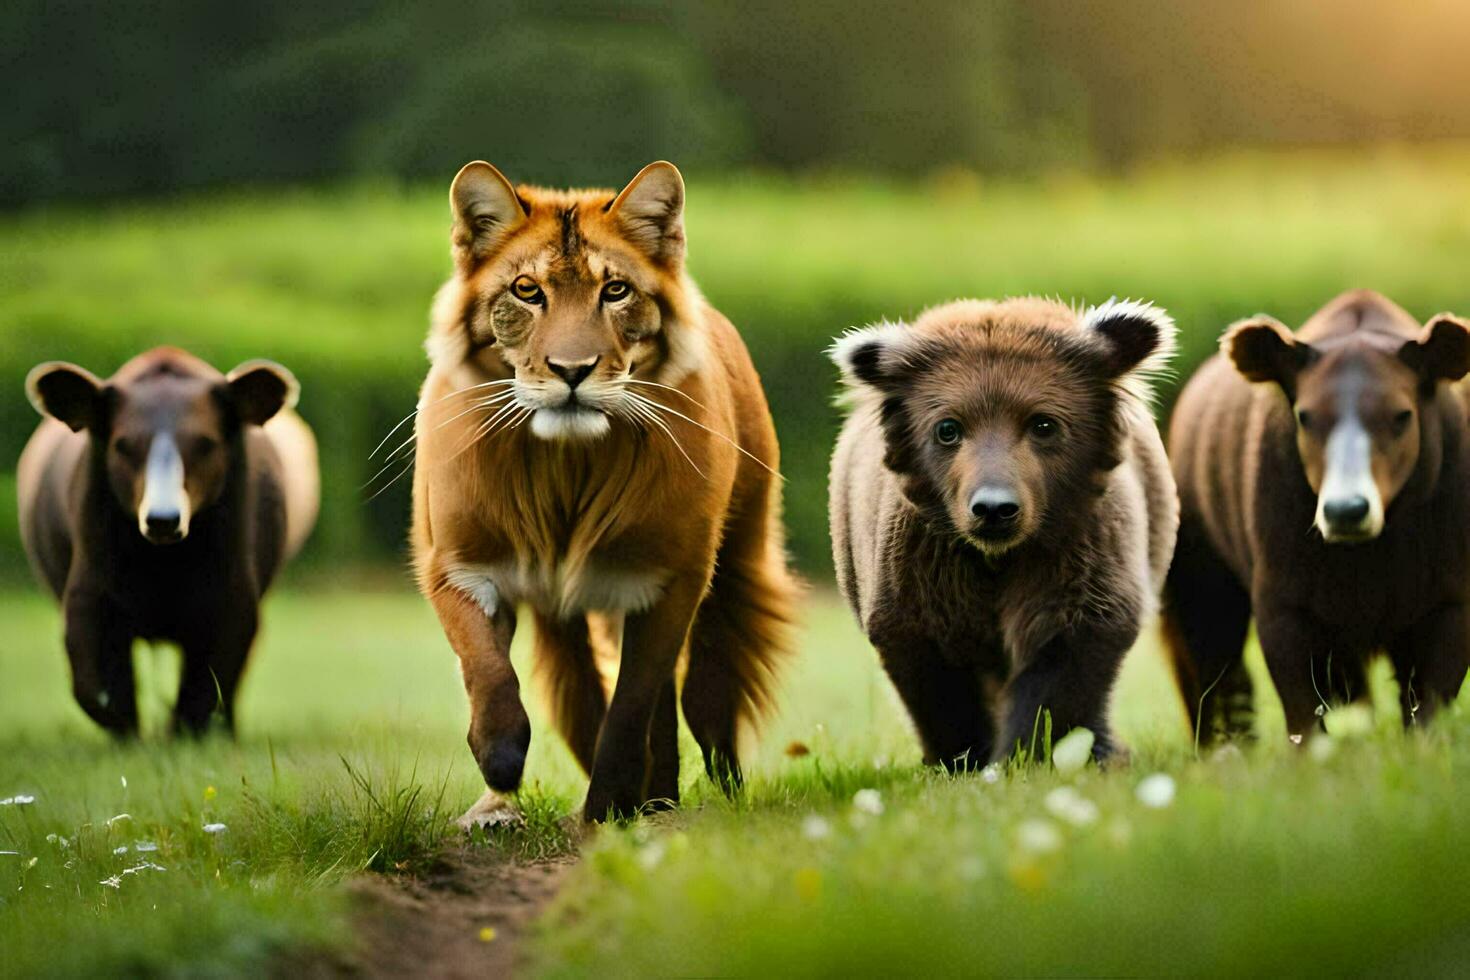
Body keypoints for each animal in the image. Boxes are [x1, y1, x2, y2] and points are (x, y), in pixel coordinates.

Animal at [408, 159, 799, 822]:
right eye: (527, 291)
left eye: (615, 291)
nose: (572, 371)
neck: (566, 467)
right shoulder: (457, 562)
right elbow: (486, 668)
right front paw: (500, 762)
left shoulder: (668, 580)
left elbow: (632, 708)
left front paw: (609, 810)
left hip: (735, 565)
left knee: (701, 697)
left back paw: (682, 798)